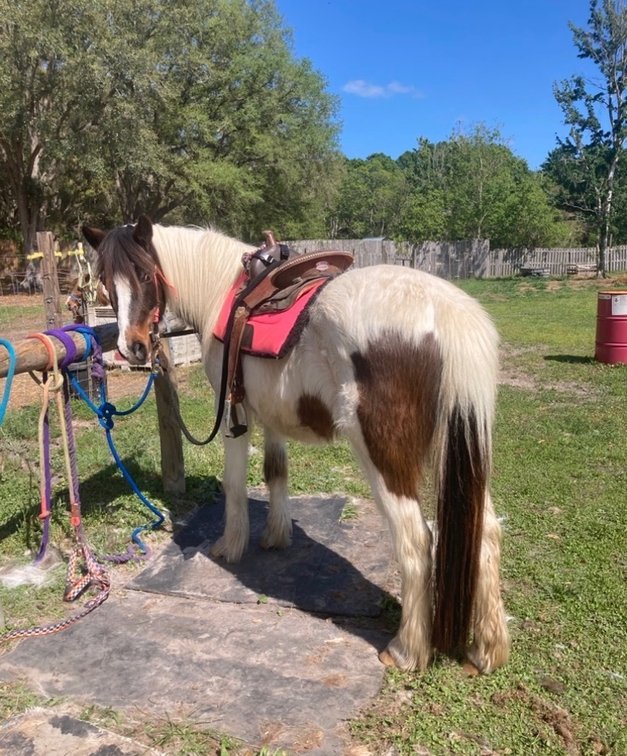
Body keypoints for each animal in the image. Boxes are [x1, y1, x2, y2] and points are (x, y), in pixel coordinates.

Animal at [82, 215, 510, 674]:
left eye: (146, 275)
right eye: (105, 280)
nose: (132, 347)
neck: (223, 293)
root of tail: (444, 312)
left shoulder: (234, 414)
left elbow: (235, 484)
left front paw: (230, 546)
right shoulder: (272, 415)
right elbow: (276, 473)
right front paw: (276, 535)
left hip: (382, 454)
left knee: (415, 539)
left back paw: (406, 650)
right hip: (462, 454)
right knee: (485, 532)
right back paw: (486, 650)